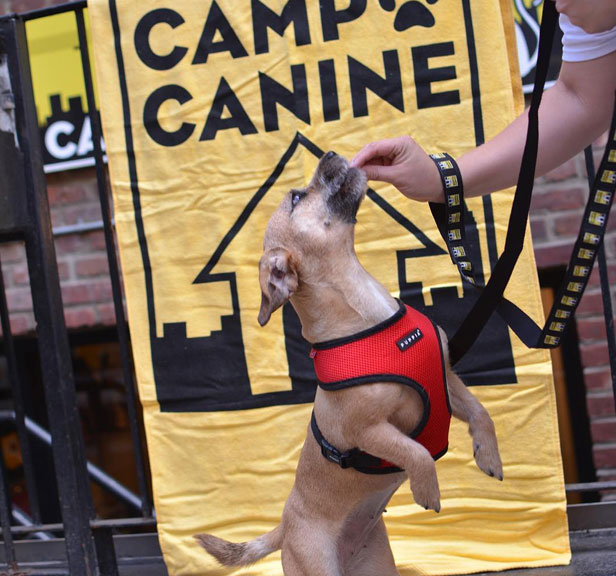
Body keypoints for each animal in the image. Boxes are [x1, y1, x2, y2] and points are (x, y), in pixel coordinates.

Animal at [195, 153, 502, 576]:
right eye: (296, 197)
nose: (327, 154)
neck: (366, 308)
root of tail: (285, 527)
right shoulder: (369, 431)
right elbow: (416, 452)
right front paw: (427, 488)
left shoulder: (448, 382)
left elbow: (480, 412)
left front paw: (488, 455)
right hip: (317, 564)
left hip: (377, 566)